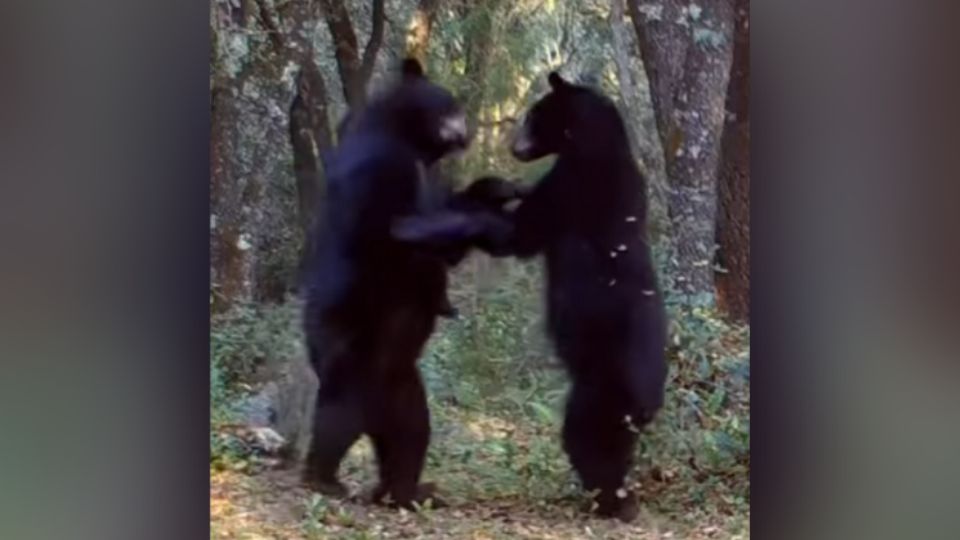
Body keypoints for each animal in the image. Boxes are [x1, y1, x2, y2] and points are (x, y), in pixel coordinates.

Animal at [298, 59, 466, 510]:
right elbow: (404, 237)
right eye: (453, 106)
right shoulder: (386, 171)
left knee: (410, 430)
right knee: (340, 412)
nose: (466, 130)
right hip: (354, 345)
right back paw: (324, 477)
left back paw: (407, 490)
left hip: (402, 380)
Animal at [394, 71, 664, 520]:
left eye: (533, 116)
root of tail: (649, 398)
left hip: (599, 388)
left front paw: (442, 224)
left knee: (586, 438)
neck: (597, 144)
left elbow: (517, 233)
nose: (513, 147)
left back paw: (608, 499)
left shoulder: (573, 187)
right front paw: (495, 188)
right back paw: (622, 497)